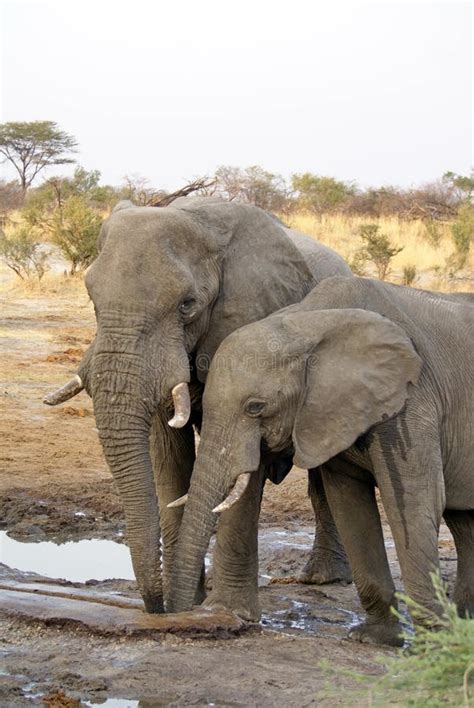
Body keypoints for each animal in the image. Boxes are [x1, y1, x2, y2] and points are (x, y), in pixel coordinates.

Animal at [43, 196, 352, 616]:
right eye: (92, 300)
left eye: (187, 305)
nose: (158, 607)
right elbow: (170, 457)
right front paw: (187, 603)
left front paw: (226, 611)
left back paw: (323, 579)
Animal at [171, 276, 474, 648]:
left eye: (255, 407)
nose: (181, 614)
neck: (308, 323)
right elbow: (349, 505)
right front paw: (373, 639)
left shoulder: (411, 401)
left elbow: (414, 501)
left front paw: (436, 645)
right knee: (464, 522)